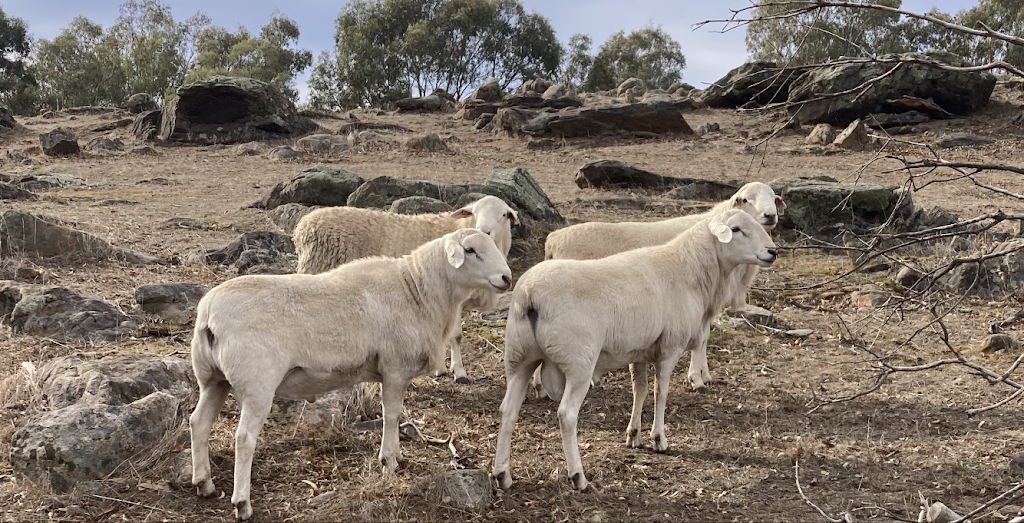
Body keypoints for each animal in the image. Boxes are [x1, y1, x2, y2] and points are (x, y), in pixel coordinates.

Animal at [189, 228, 512, 521]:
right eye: (470, 250)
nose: (507, 278)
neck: (417, 289)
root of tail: (208, 314)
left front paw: (396, 456)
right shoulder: (395, 367)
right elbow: (392, 414)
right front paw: (389, 461)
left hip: (213, 379)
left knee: (198, 422)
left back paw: (204, 483)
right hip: (257, 382)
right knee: (244, 438)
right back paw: (242, 503)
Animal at [292, 195, 519, 383]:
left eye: (503, 215)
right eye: (475, 212)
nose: (483, 230)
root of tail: (303, 225)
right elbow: (456, 335)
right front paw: (458, 372)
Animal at [491, 210, 777, 493]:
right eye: (736, 229)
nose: (773, 251)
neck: (691, 270)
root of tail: (530, 295)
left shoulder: (638, 351)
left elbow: (639, 390)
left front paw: (634, 435)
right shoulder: (670, 347)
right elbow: (660, 392)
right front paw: (659, 439)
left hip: (519, 358)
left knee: (508, 410)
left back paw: (502, 474)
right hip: (578, 363)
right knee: (567, 415)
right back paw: (578, 477)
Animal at [540, 181, 785, 391]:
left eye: (773, 198)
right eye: (746, 199)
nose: (770, 216)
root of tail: (553, 239)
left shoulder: (706, 304)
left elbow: (704, 335)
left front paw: (703, 373)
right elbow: (700, 338)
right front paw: (696, 378)